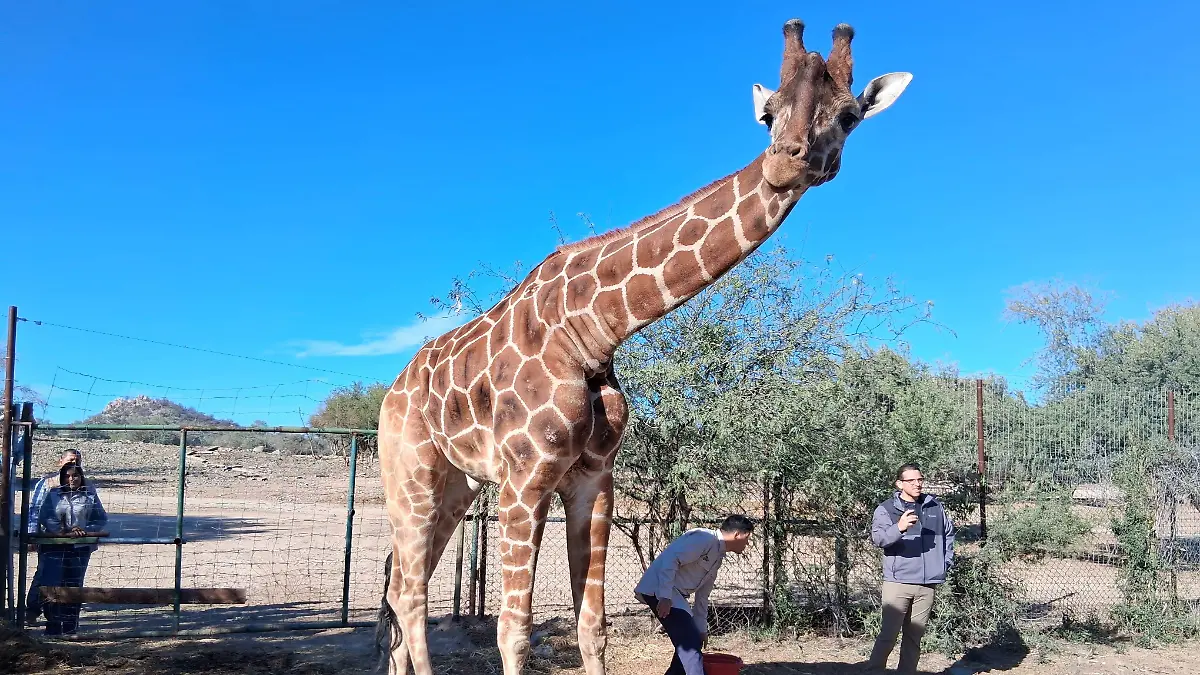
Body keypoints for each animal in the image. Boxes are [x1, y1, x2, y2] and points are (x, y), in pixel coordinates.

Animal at [375, 18, 912, 675]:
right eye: (768, 113)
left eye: (848, 116)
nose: (786, 163)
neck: (591, 331)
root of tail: (392, 390)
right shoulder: (524, 479)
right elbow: (514, 630)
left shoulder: (593, 479)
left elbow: (593, 625)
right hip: (410, 474)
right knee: (410, 593)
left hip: (456, 486)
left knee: (403, 585)